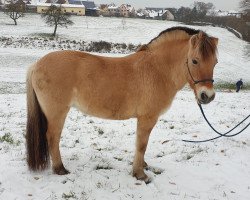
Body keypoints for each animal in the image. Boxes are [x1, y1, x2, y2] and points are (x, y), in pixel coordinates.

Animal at [26, 27, 219, 183]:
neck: (157, 70)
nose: (207, 96)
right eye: (194, 60)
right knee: (53, 137)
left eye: (215, 62)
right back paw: (60, 169)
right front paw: (140, 174)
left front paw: (142, 166)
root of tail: (36, 64)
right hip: (57, 112)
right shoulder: (147, 118)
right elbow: (141, 144)